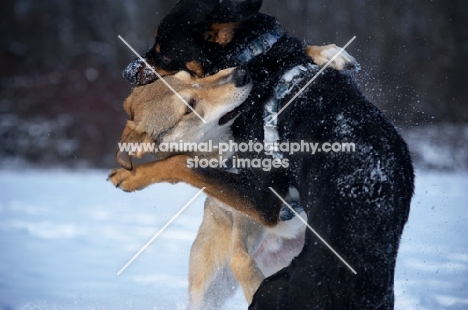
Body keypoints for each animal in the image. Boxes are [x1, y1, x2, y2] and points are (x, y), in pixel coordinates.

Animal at [109, 68, 308, 308]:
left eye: (190, 76)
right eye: (189, 107)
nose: (240, 74)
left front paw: (131, 175)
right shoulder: (251, 214)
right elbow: (239, 259)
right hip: (207, 285)